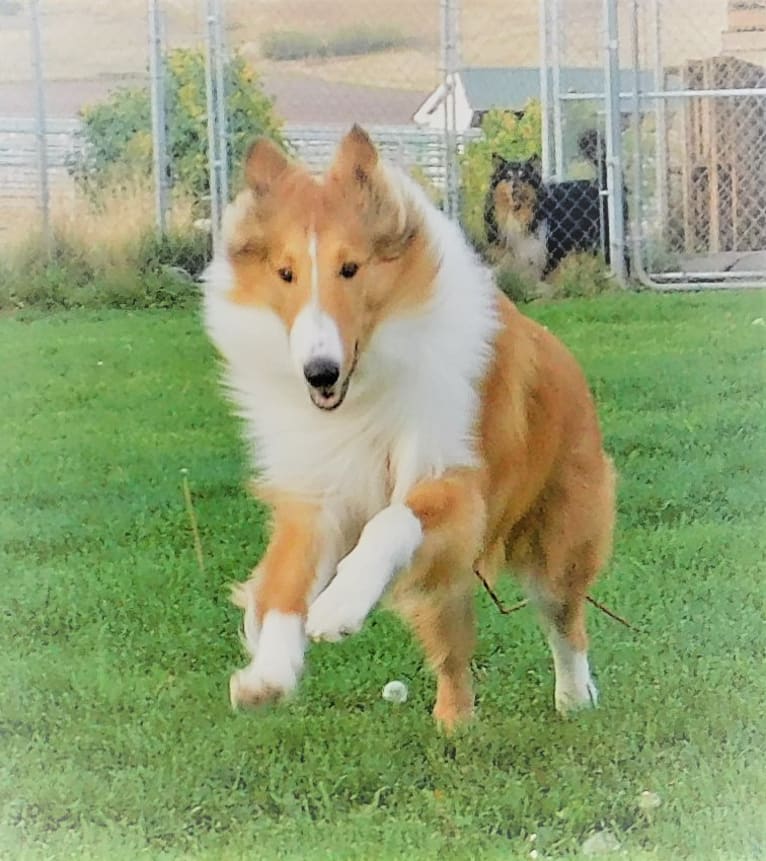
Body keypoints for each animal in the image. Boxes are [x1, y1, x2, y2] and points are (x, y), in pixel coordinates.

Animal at [204, 126, 616, 732]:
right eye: (285, 274)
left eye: (350, 268)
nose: (318, 372)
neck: (366, 385)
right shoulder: (317, 493)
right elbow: (284, 581)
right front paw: (268, 673)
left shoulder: (454, 482)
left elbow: (391, 521)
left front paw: (339, 605)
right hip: (442, 588)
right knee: (454, 658)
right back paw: (454, 724)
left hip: (557, 542)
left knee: (566, 622)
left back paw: (574, 698)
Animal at [486, 129, 632, 278]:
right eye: (507, 176)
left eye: (524, 177)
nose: (515, 189)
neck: (520, 215)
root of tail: (601, 182)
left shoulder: (550, 249)